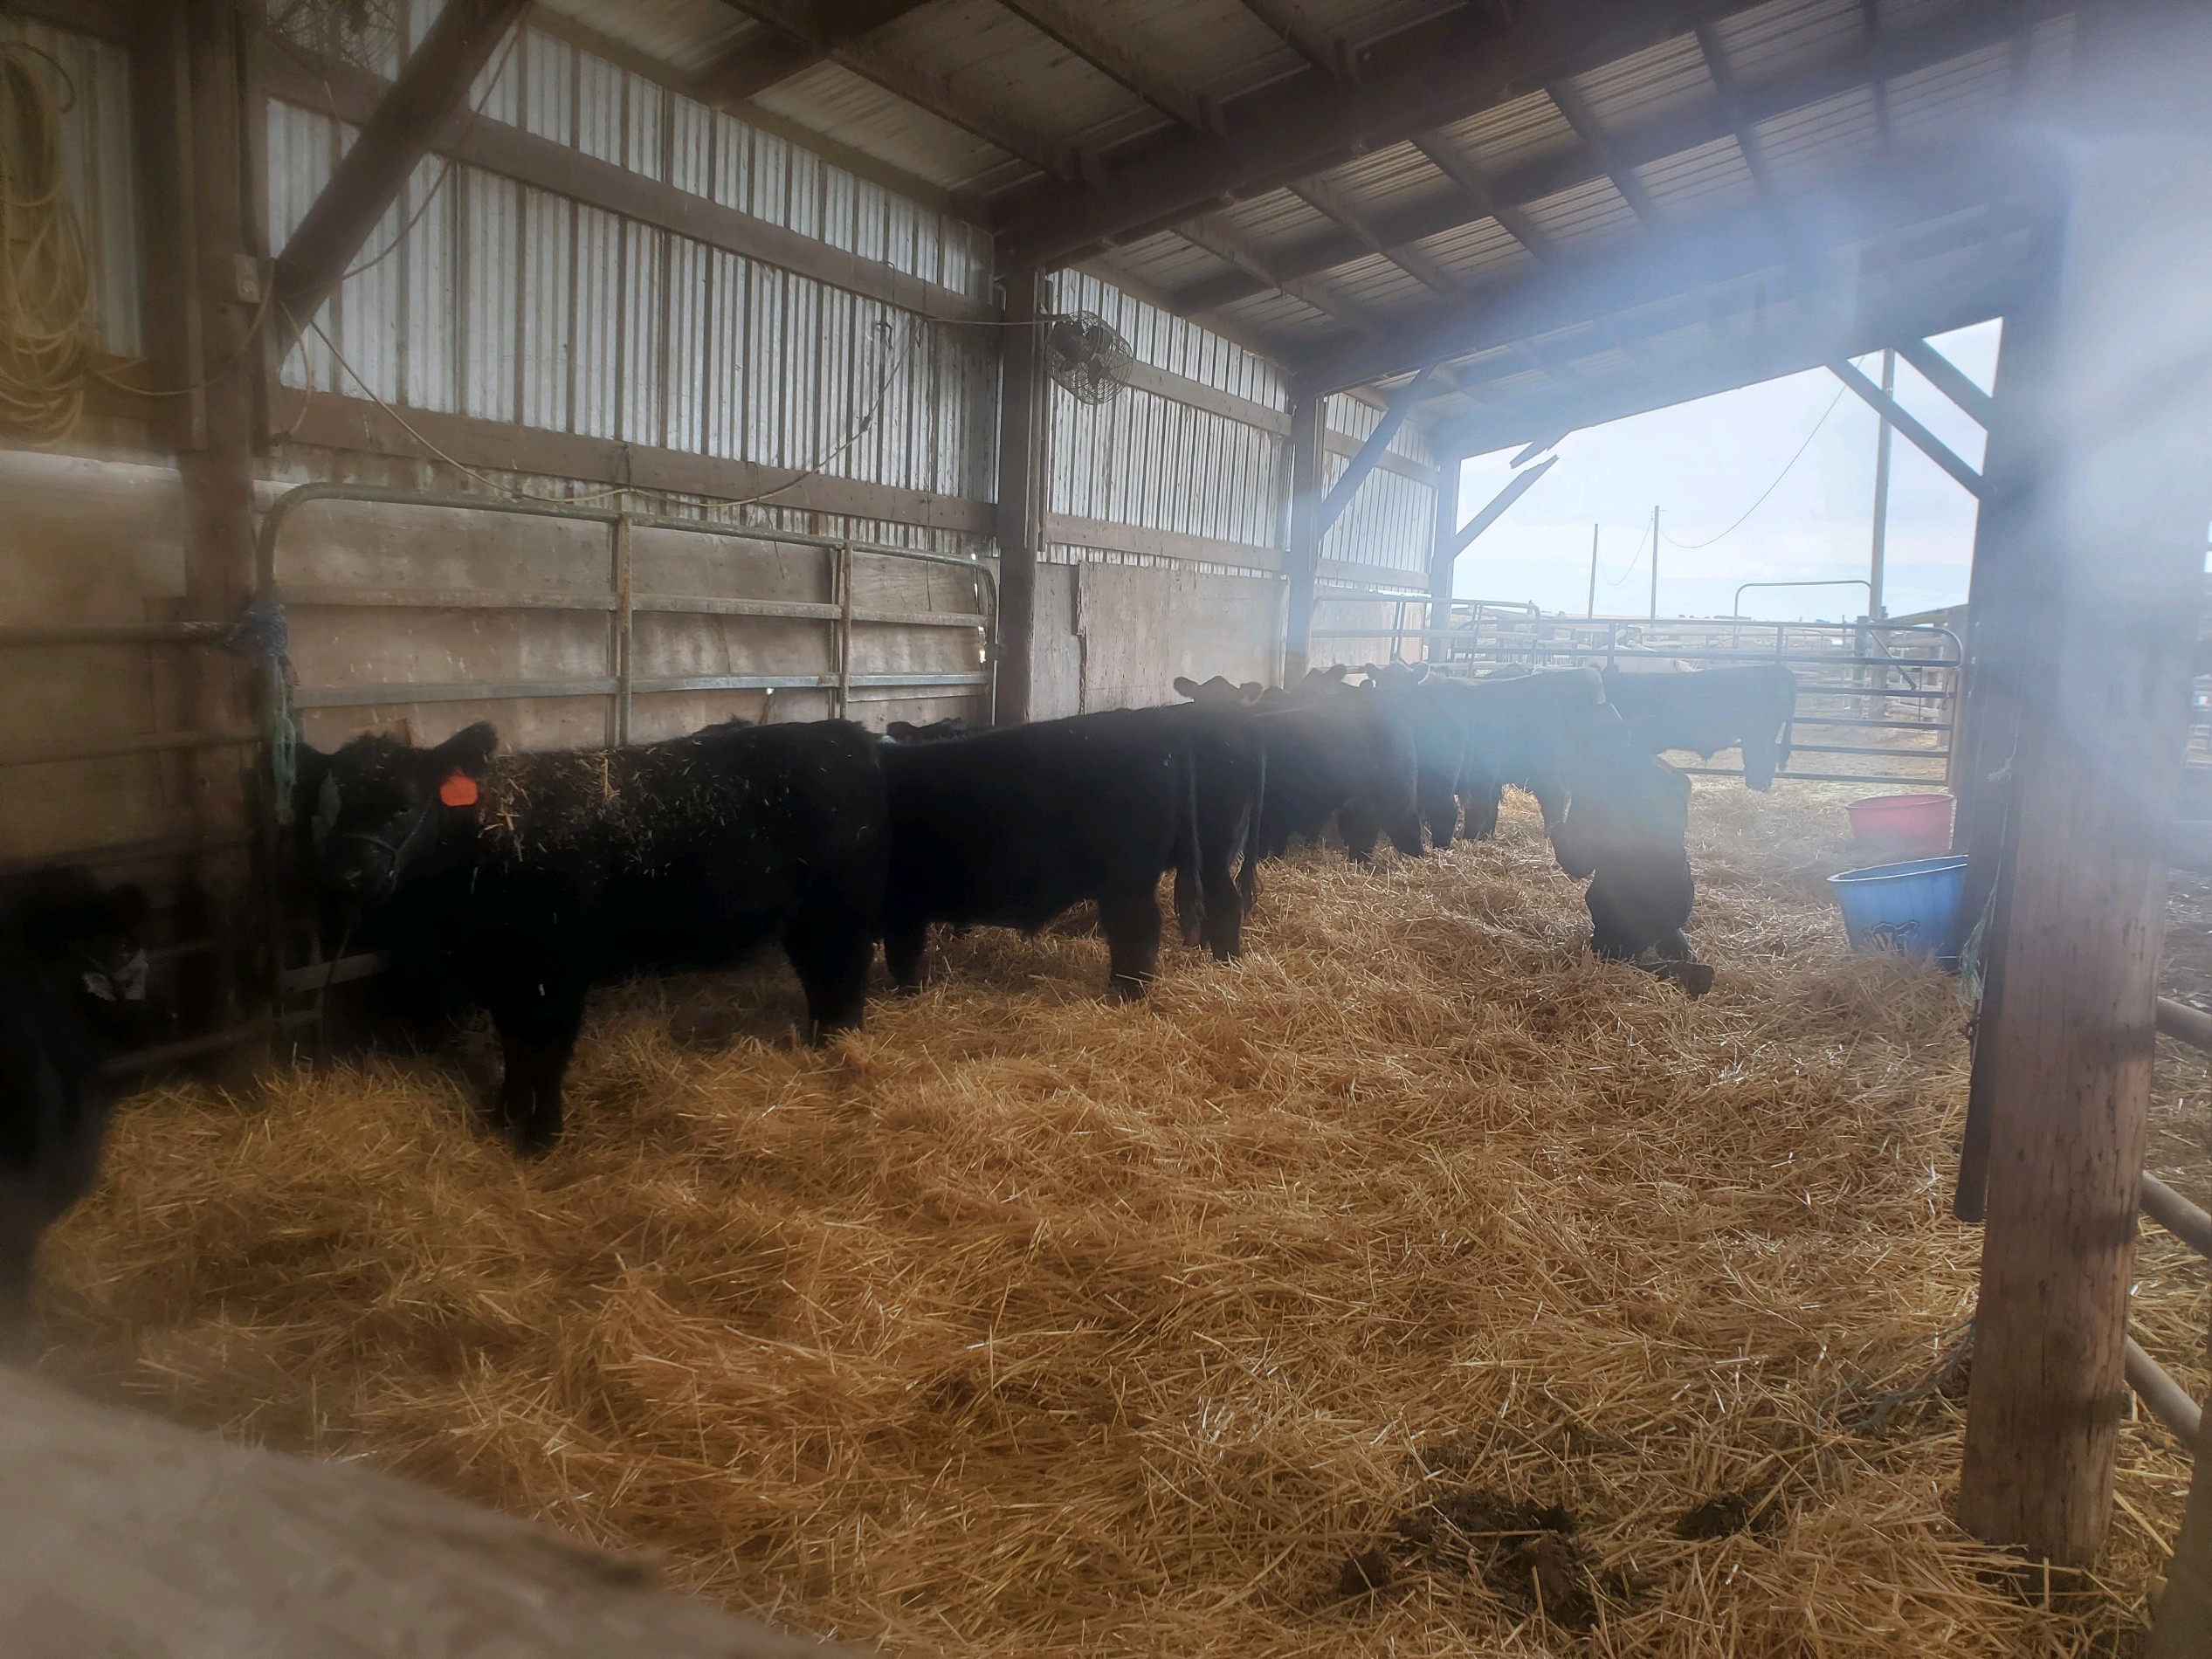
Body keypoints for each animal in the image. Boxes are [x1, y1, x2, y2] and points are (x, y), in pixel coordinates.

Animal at [306, 719, 887, 1153]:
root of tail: (843, 733)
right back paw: (821, 1042)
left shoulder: (556, 970)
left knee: (846, 971)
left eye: (404, 804)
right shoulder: (503, 973)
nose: (343, 875)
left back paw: (842, 1044)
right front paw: (503, 1117)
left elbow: (547, 1049)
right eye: (334, 805)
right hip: (807, 918)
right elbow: (514, 1045)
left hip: (841, 907)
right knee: (820, 975)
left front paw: (541, 1134)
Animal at [880, 705, 1260, 998]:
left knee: (1144, 926)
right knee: (1217, 905)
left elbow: (904, 954)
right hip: (1209, 857)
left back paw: (1130, 991)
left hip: (1142, 873)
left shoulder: (902, 905)